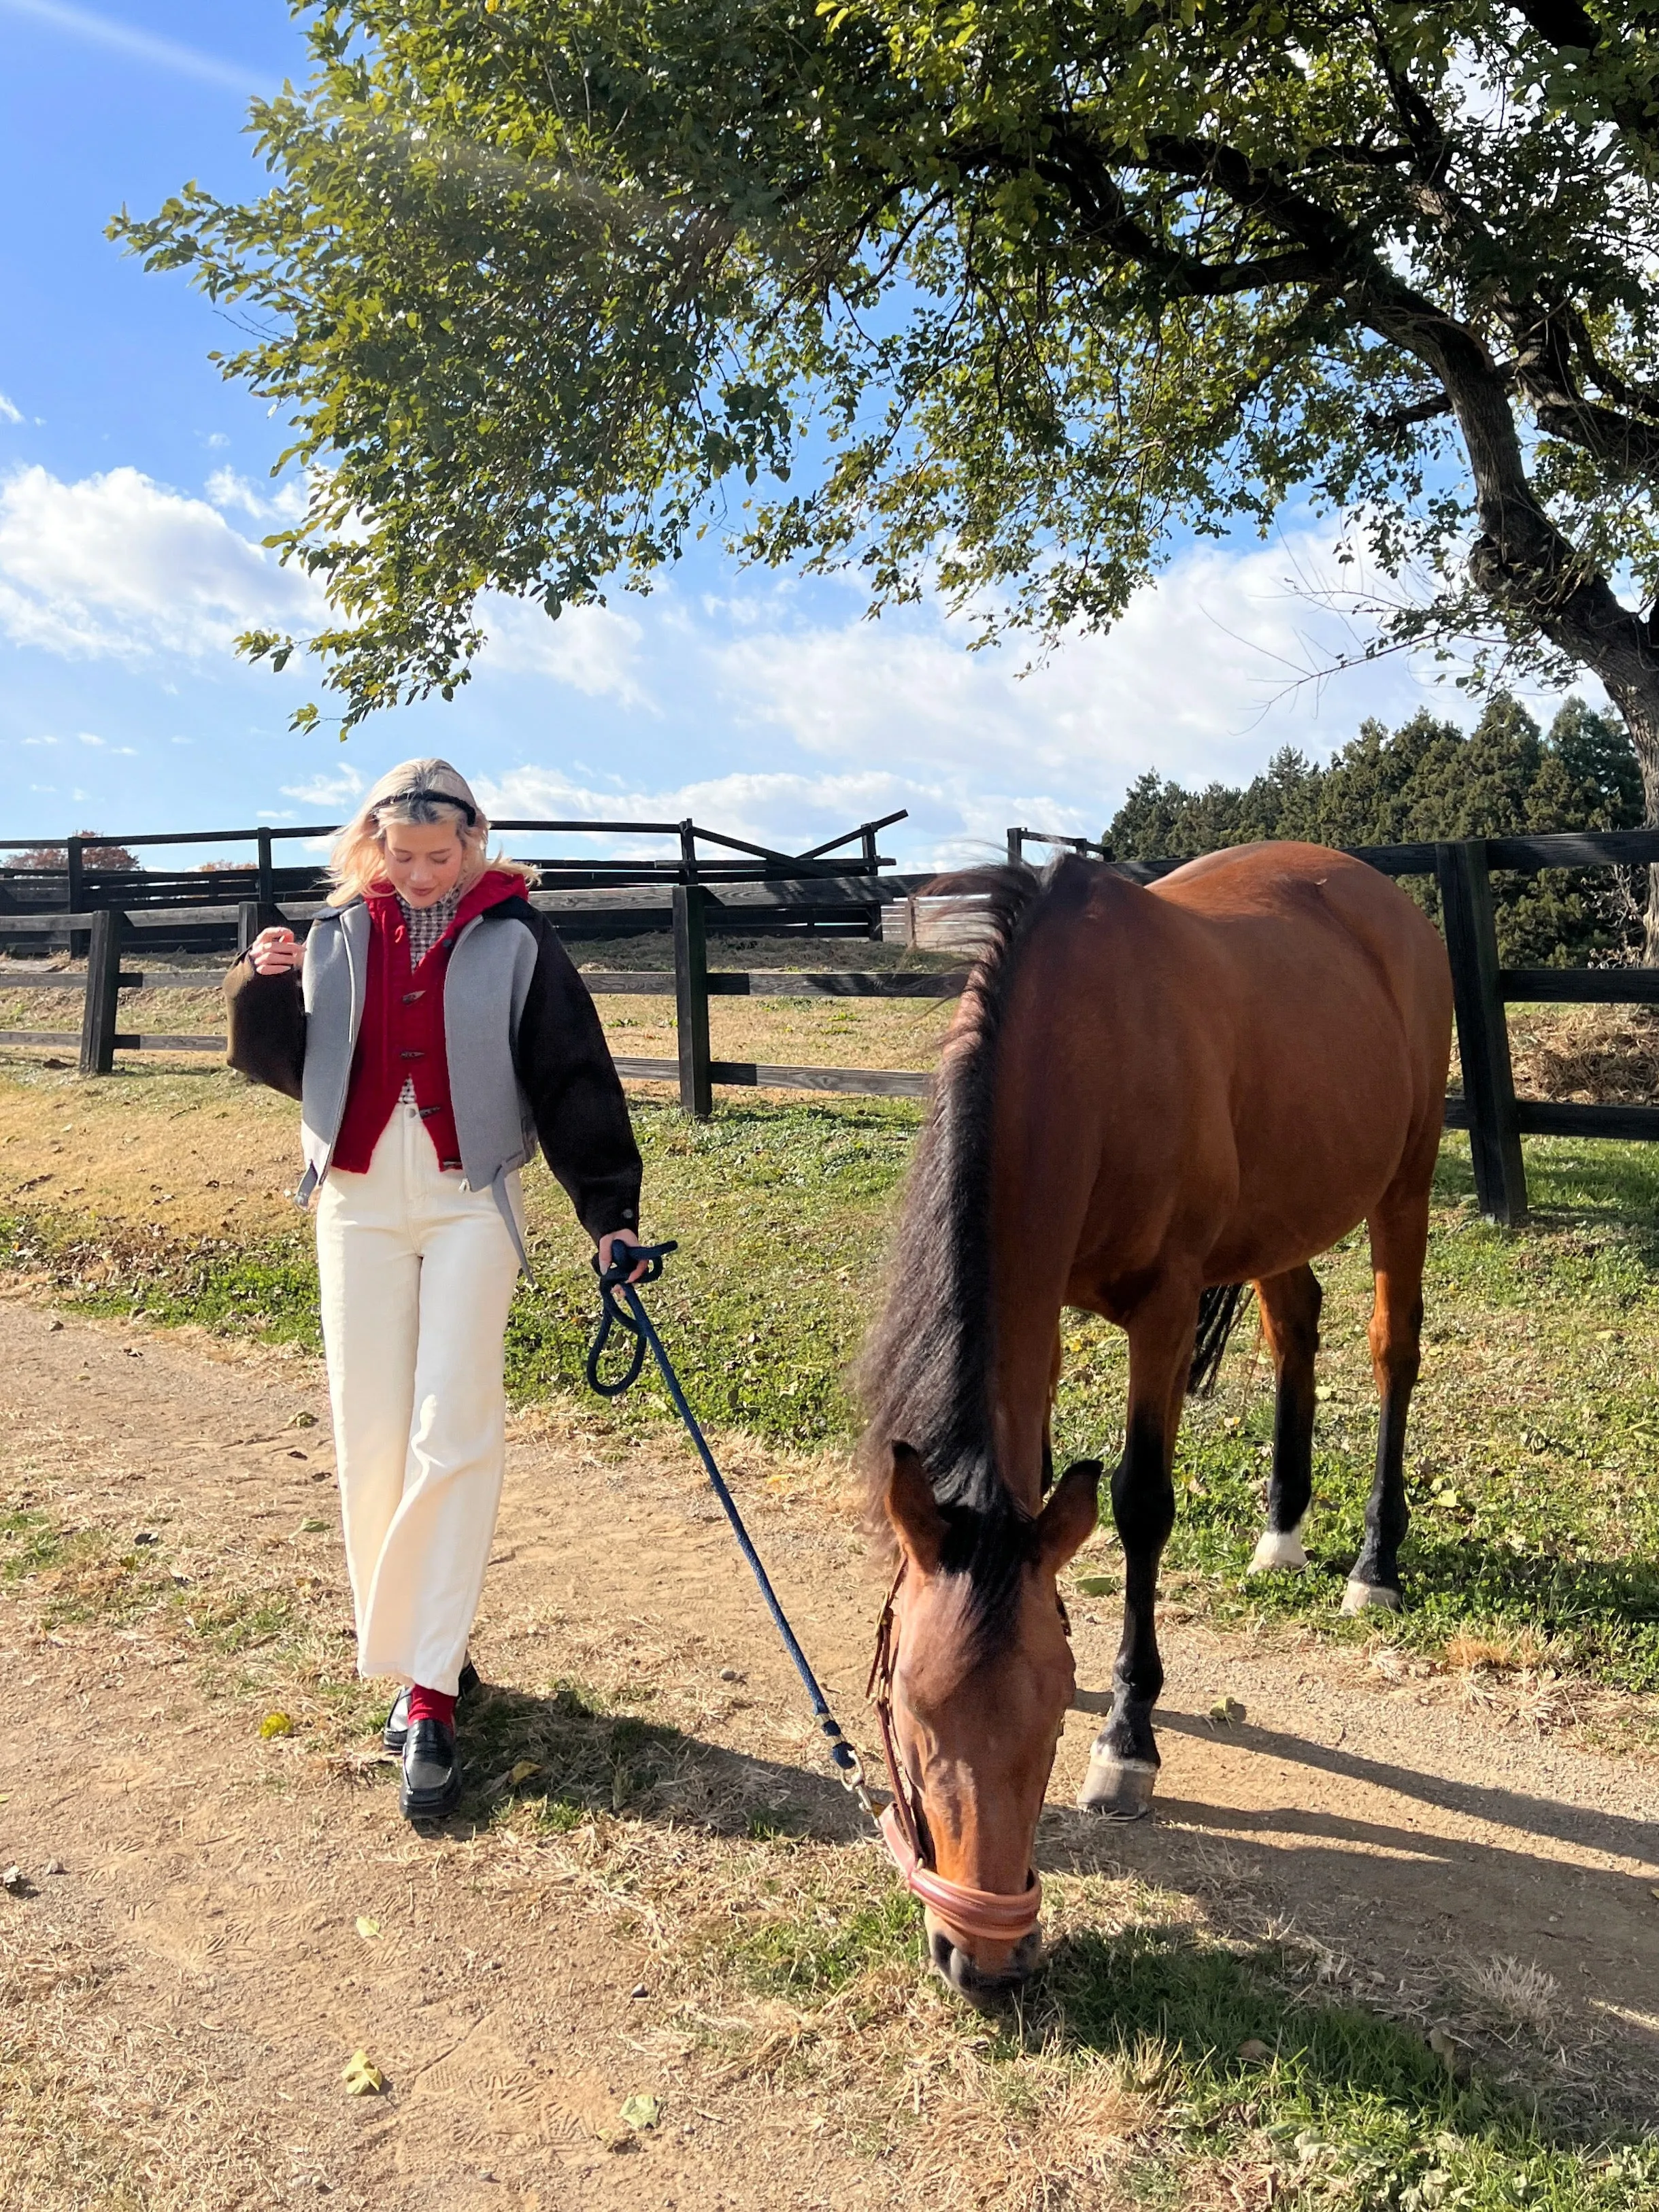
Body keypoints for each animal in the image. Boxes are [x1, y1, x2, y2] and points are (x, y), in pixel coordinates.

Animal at [858, 840, 1451, 2008]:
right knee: (1295, 1325)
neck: (1083, 1047)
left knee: (1389, 1351)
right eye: (908, 1713)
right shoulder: (1042, 1314)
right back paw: (1281, 1534)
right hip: (1282, 1216)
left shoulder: (1165, 1308)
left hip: (1401, 1186)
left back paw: (1372, 1563)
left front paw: (1128, 1737)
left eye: (1048, 1722)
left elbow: (1138, 1506)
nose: (985, 1960)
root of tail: (1380, 899)